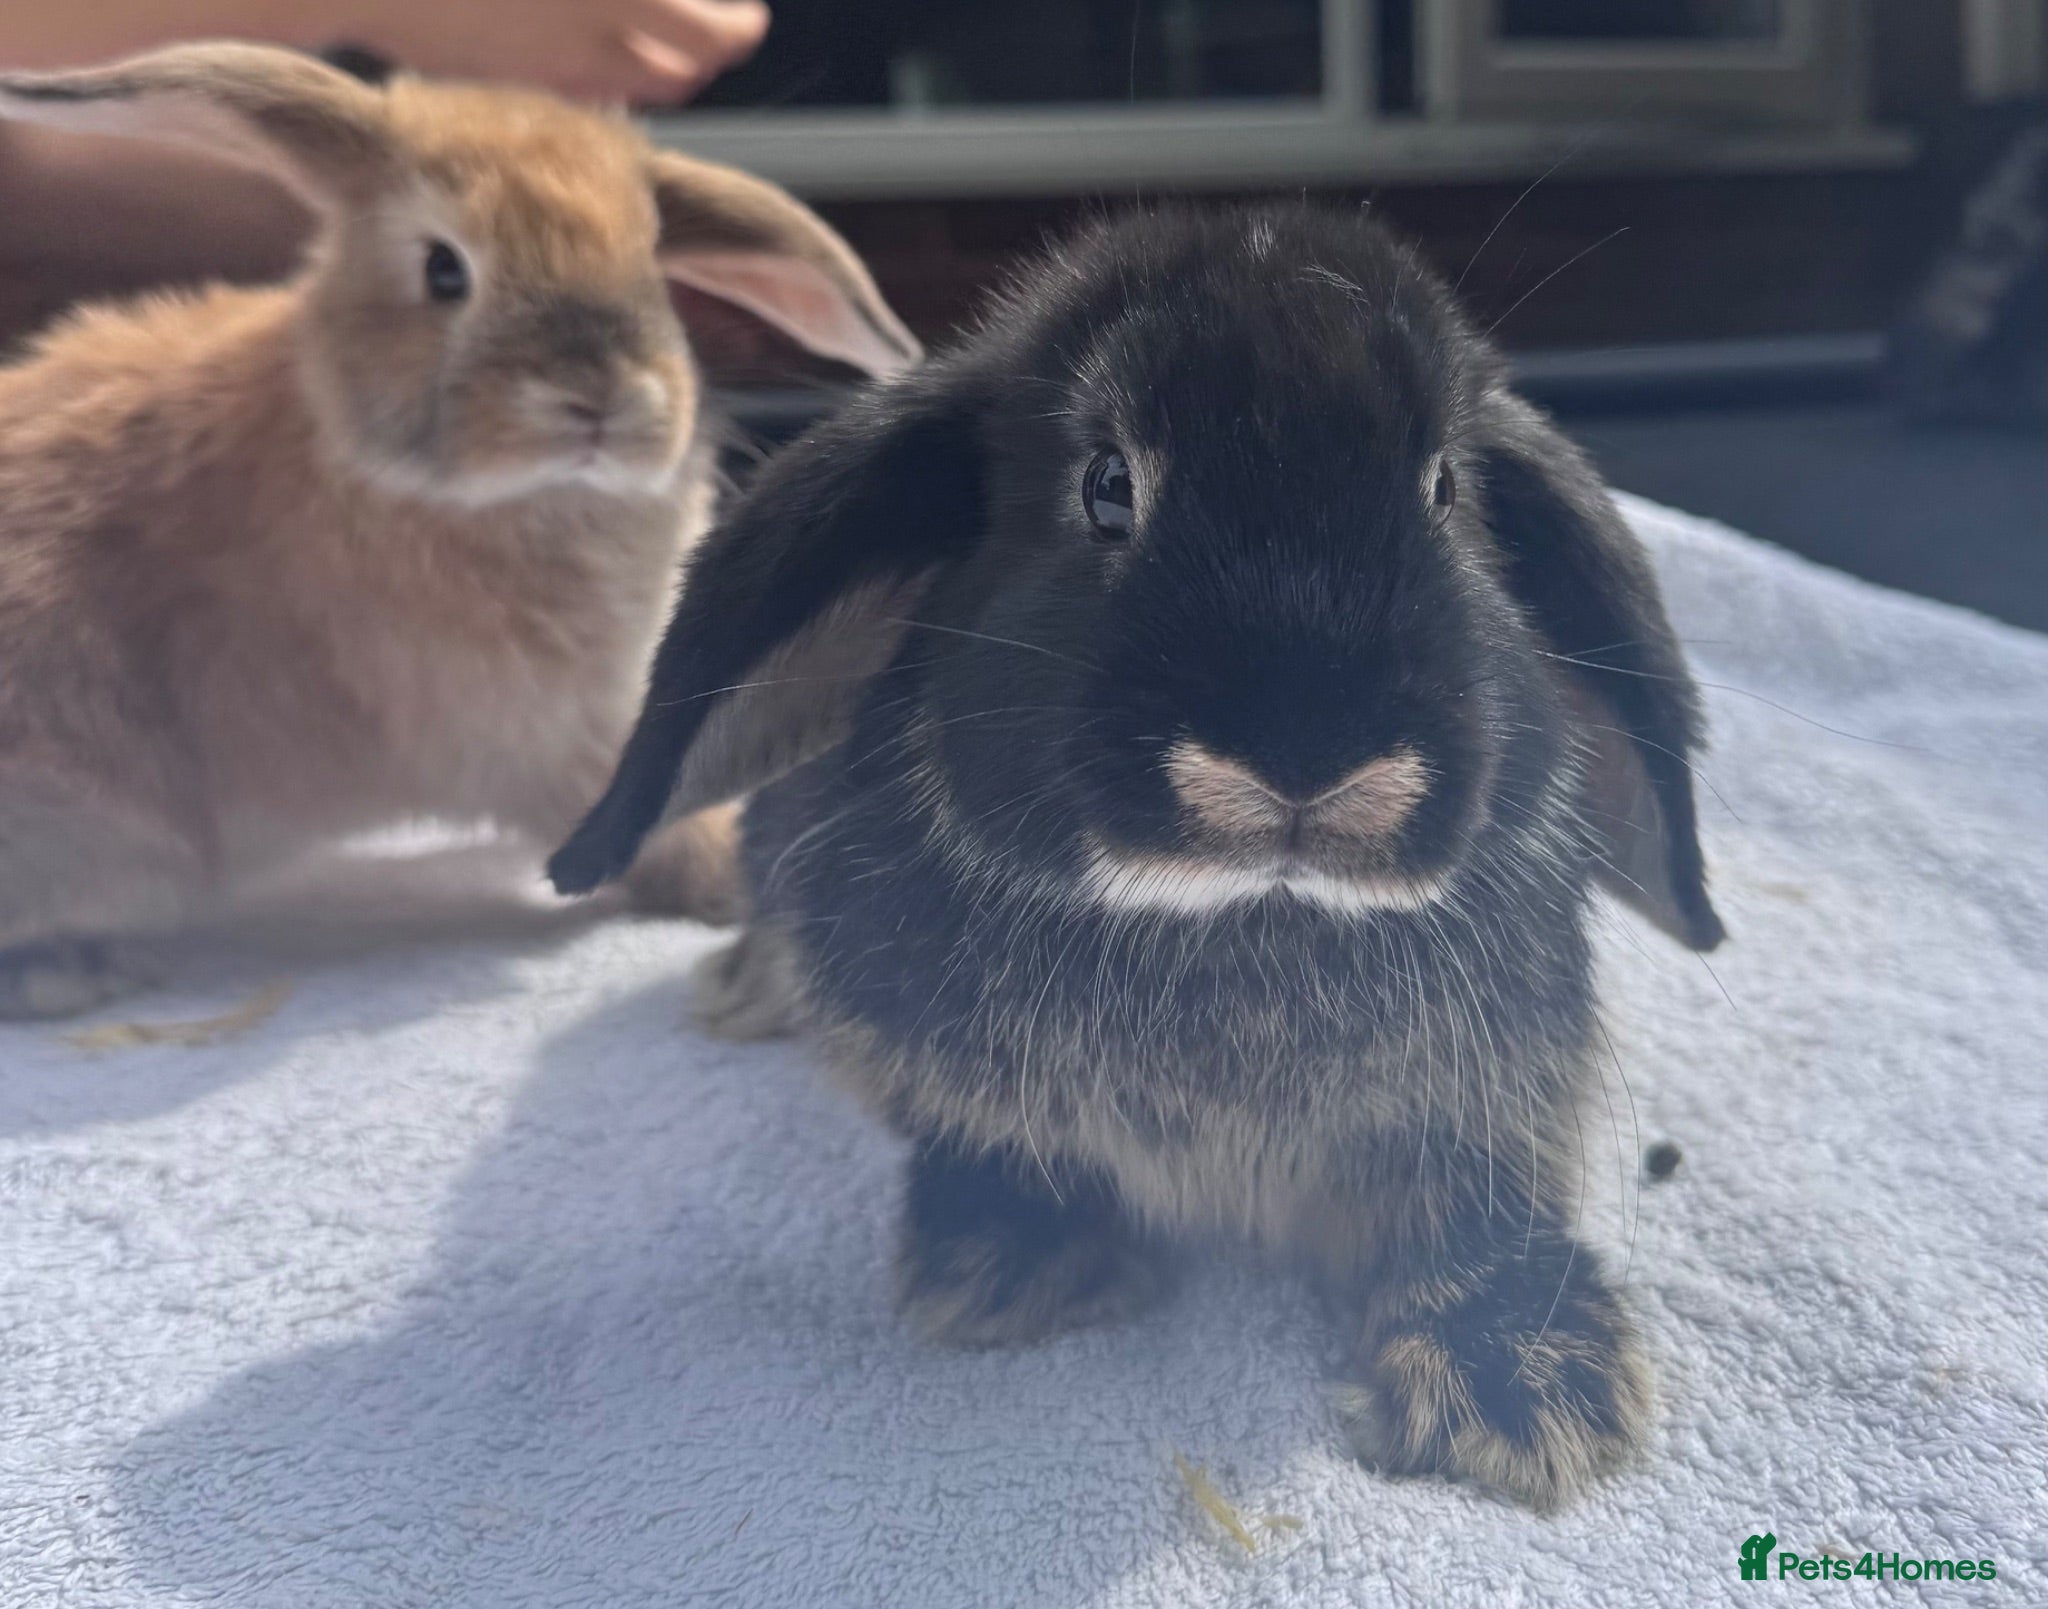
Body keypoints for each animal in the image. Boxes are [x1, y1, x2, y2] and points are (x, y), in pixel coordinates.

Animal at [0, 43, 918, 1019]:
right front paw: (735, 882)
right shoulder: (539, 732)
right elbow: (638, 817)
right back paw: (71, 971)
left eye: (652, 264)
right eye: (445, 269)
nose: (600, 397)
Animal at [549, 205, 1726, 1512]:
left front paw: (1522, 1386)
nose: (1306, 754)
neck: (1241, 919)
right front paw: (1008, 1268)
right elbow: (998, 1145)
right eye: (1106, 486)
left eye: (1445, 488)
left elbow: (1467, 1203)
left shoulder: (1480, 1096)